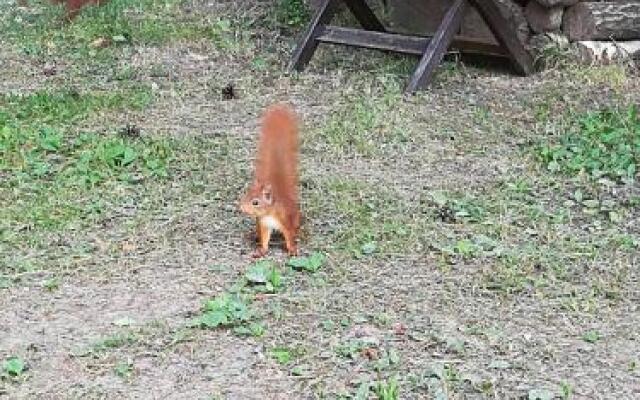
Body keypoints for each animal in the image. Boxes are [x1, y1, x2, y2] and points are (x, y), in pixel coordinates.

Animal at [239, 103, 302, 258]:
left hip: (296, 217)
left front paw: (292, 249)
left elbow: (289, 236)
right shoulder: (264, 225)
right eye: (245, 195)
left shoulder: (285, 221)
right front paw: (261, 251)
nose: (241, 207)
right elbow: (265, 239)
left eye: (255, 202)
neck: (269, 213)